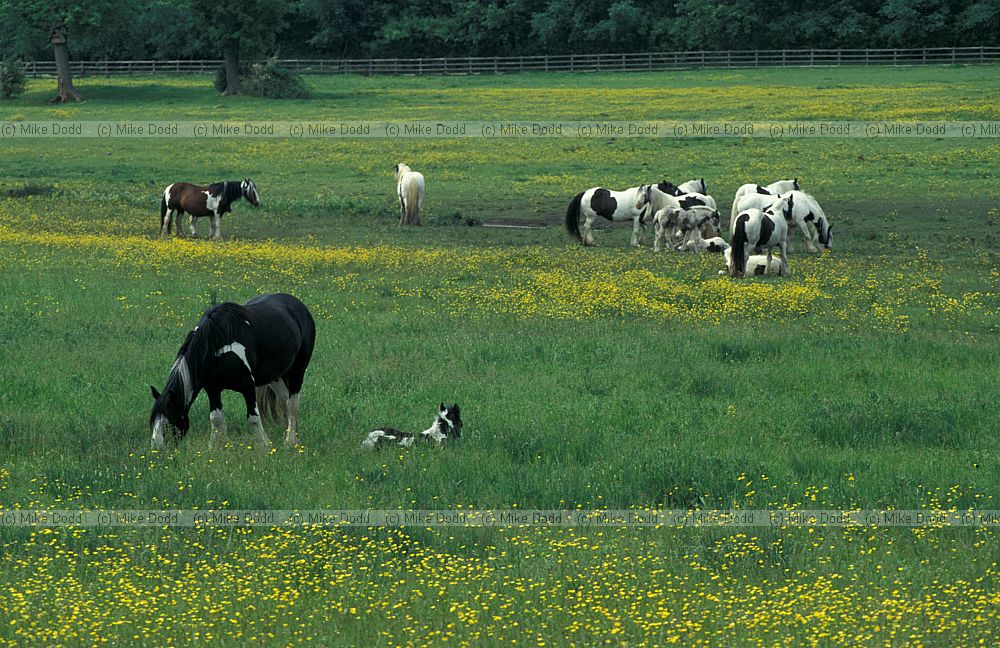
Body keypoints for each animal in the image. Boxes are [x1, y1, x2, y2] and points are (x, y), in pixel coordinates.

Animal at [149, 293, 316, 451]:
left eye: (169, 423)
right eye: (152, 422)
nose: (157, 450)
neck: (216, 342)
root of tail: (297, 305)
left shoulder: (248, 386)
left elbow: (253, 418)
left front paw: (264, 446)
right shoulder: (213, 389)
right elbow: (216, 419)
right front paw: (214, 447)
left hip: (297, 370)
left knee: (292, 404)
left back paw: (290, 441)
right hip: (274, 375)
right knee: (283, 401)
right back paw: (288, 433)